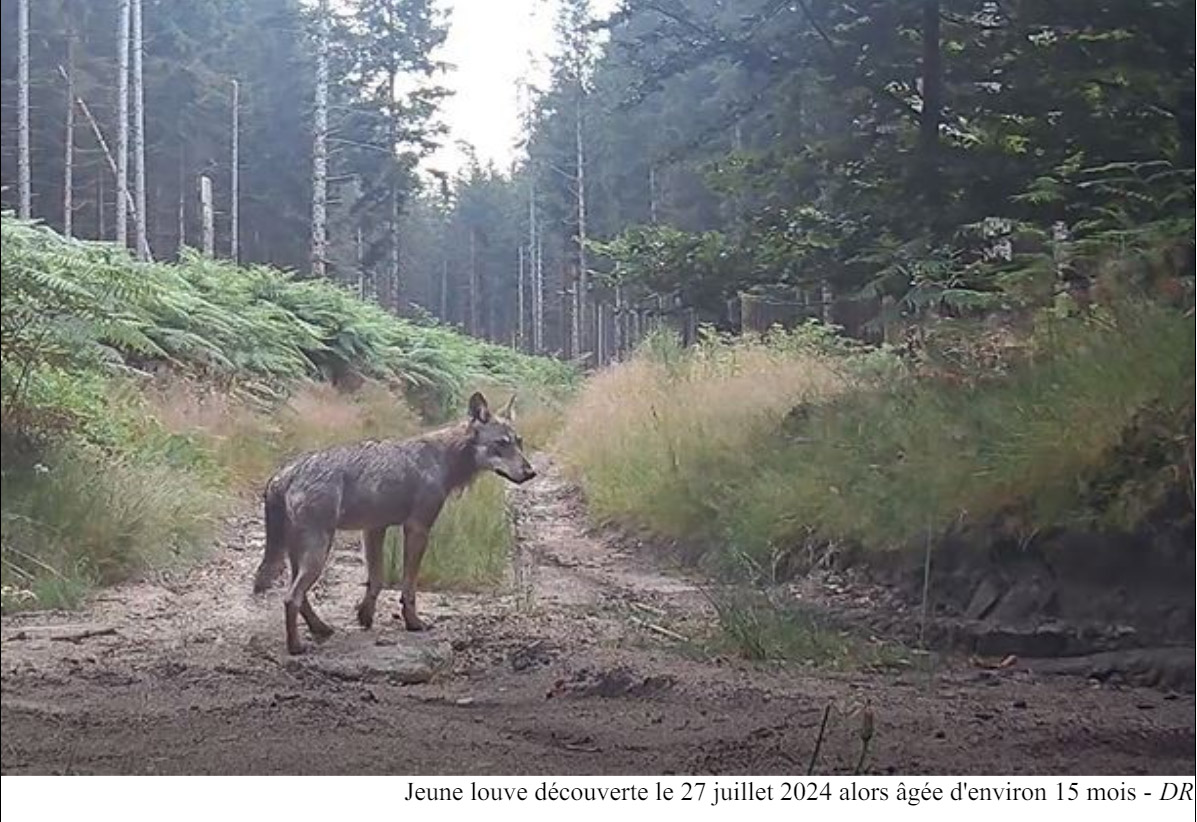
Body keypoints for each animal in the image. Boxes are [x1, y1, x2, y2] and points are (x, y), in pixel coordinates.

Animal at [252, 391, 535, 655]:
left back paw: (321, 629)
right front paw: (414, 623)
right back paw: (296, 647)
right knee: (291, 598)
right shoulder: (417, 529)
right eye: (501, 444)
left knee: (299, 597)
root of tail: (284, 473)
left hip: (301, 555)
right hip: (318, 552)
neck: (442, 457)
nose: (531, 473)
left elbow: (375, 581)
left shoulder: (374, 530)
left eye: (519, 442)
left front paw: (365, 618)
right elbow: (408, 588)